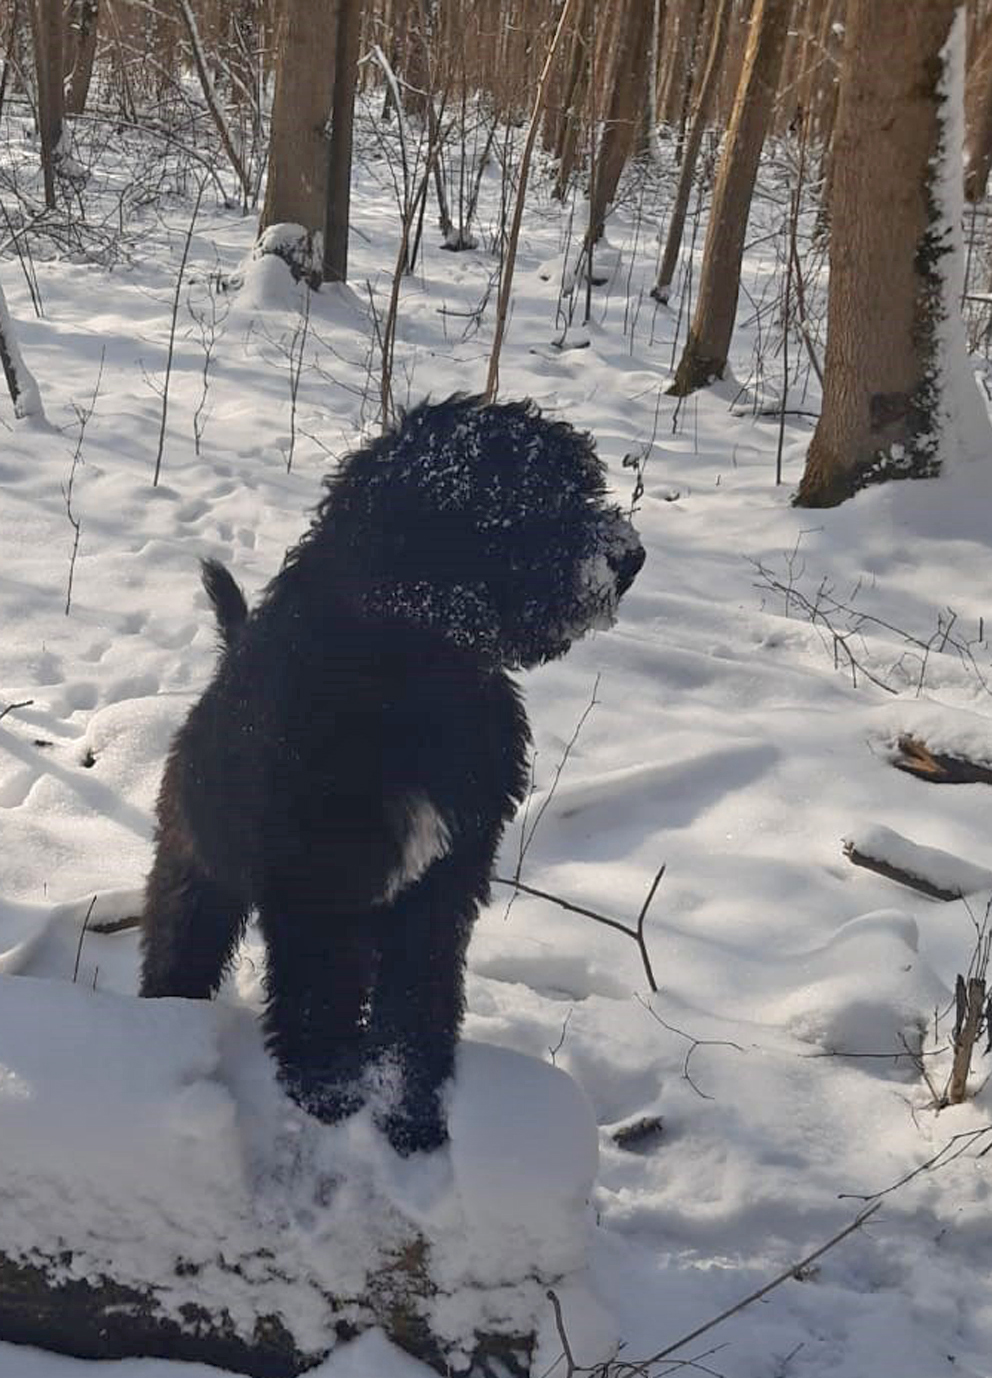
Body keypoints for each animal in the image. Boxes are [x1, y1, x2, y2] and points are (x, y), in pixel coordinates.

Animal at [141, 399, 642, 1152]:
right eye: (535, 499)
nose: (630, 556)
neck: (409, 671)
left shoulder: (444, 882)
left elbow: (418, 1001)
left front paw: (412, 1110)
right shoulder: (318, 888)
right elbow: (320, 996)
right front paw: (327, 1094)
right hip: (198, 869)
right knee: (179, 944)